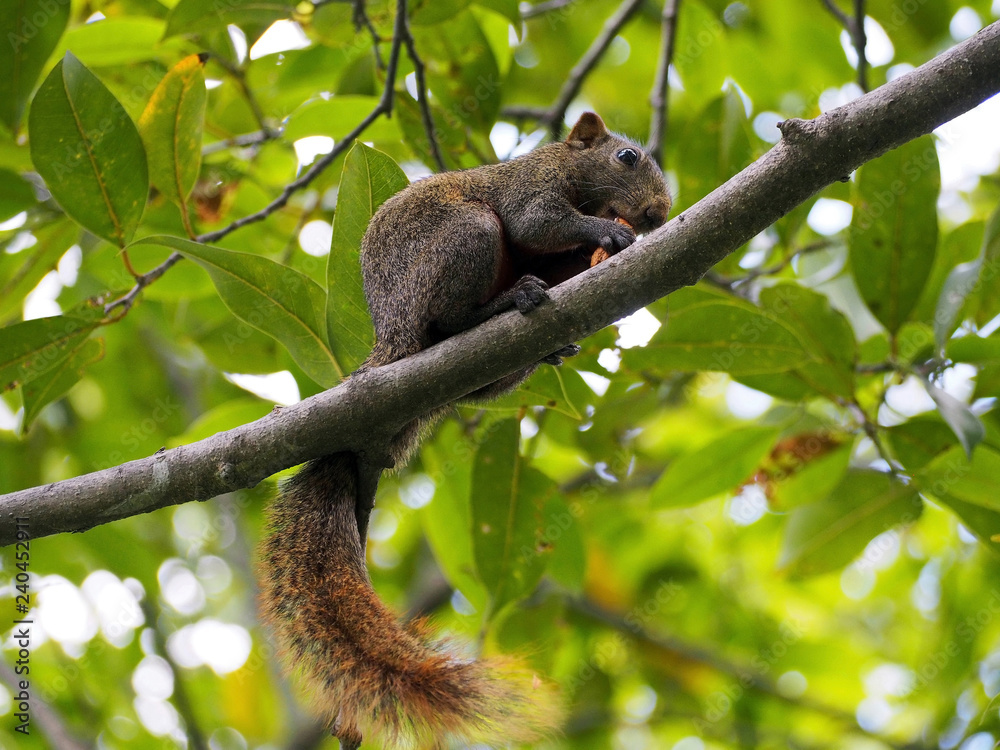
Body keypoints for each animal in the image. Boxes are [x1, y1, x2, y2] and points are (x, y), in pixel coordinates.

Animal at [258, 112, 671, 749]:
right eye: (626, 158)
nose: (658, 211)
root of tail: (392, 344)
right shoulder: (530, 188)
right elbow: (537, 222)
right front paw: (609, 230)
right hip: (461, 241)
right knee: (449, 318)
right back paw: (504, 302)